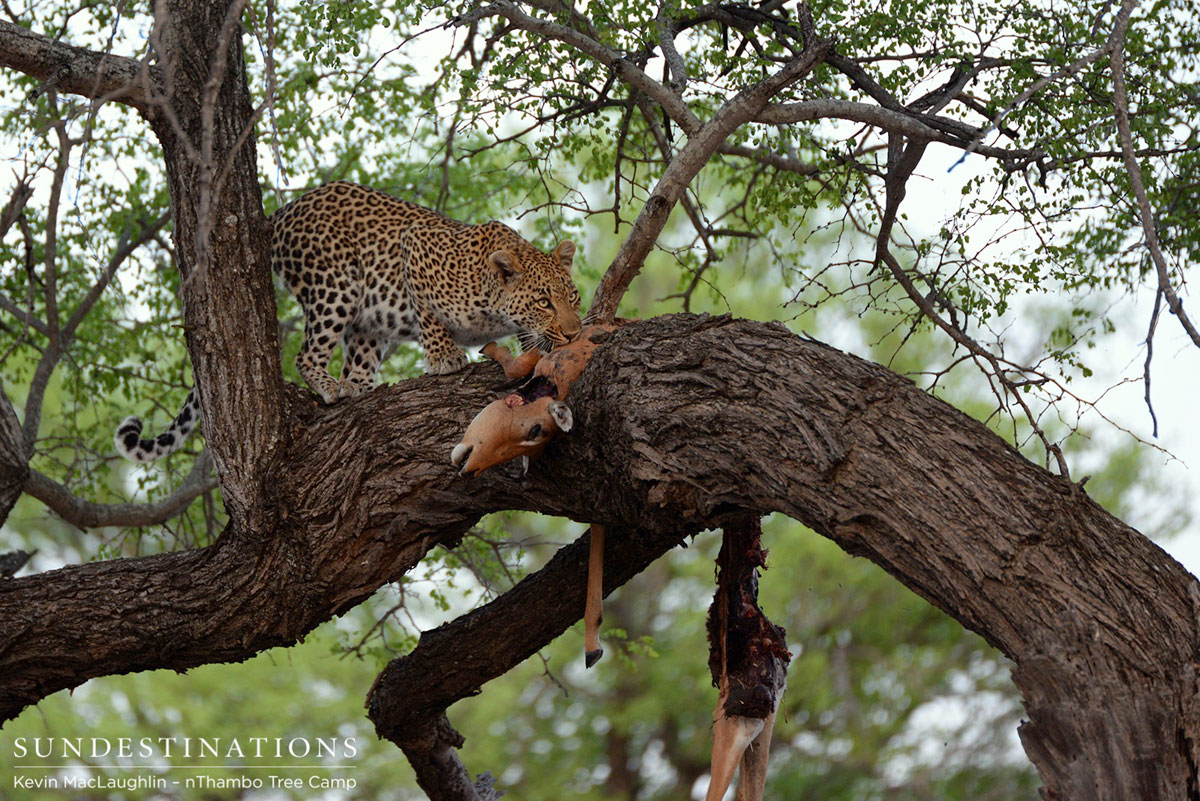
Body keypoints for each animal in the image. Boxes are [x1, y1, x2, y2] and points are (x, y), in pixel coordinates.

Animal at [115, 181, 582, 463]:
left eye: (572, 298)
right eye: (544, 301)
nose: (574, 331)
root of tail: (281, 211)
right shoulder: (415, 248)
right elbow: (430, 316)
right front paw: (444, 357)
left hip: (367, 322)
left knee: (354, 361)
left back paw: (359, 388)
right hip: (336, 286)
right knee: (307, 355)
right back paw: (330, 387)